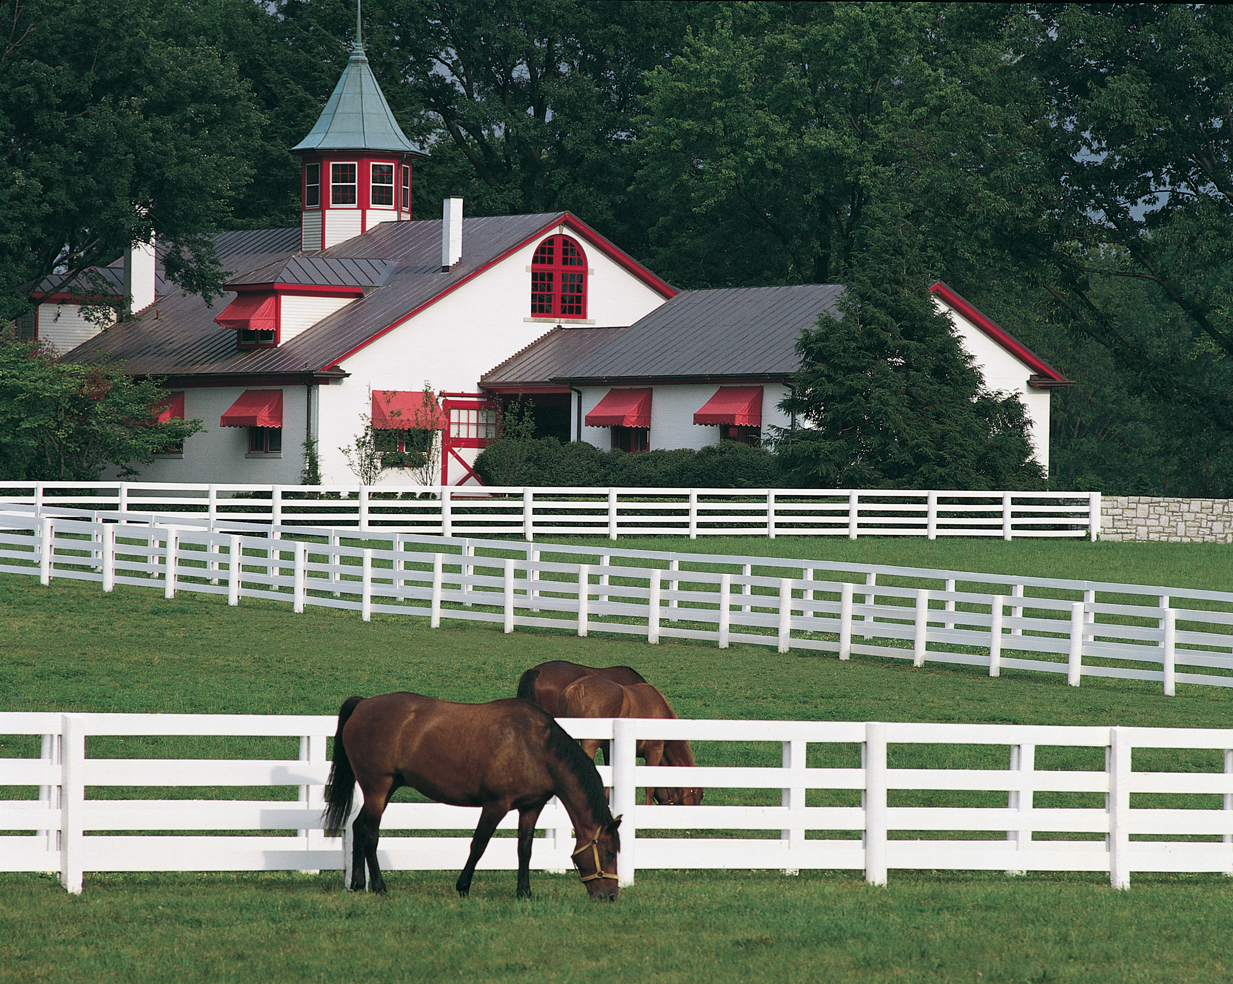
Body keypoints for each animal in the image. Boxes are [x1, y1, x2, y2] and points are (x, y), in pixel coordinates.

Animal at [323, 695, 621, 902]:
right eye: (608, 852)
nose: (609, 896)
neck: (536, 746)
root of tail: (363, 705)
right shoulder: (495, 805)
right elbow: (478, 845)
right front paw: (463, 887)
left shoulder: (531, 807)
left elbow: (524, 849)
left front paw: (524, 892)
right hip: (378, 788)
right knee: (370, 833)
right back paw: (379, 887)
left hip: (384, 790)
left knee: (358, 827)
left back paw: (358, 884)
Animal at [559, 680, 705, 808]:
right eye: (700, 795)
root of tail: (578, 688)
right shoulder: (655, 751)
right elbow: (649, 787)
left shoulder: (609, 750)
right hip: (590, 744)